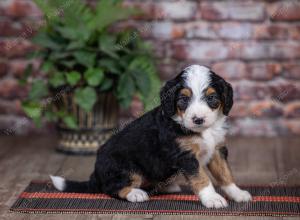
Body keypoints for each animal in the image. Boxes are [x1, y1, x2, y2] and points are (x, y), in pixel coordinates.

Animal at [50, 65, 252, 208]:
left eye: (211, 98)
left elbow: (225, 174)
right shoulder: (186, 156)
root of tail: (96, 175)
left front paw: (238, 193)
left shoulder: (217, 149)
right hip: (125, 168)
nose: (198, 119)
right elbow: (201, 178)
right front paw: (212, 198)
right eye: (183, 99)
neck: (203, 131)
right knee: (112, 187)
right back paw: (136, 193)